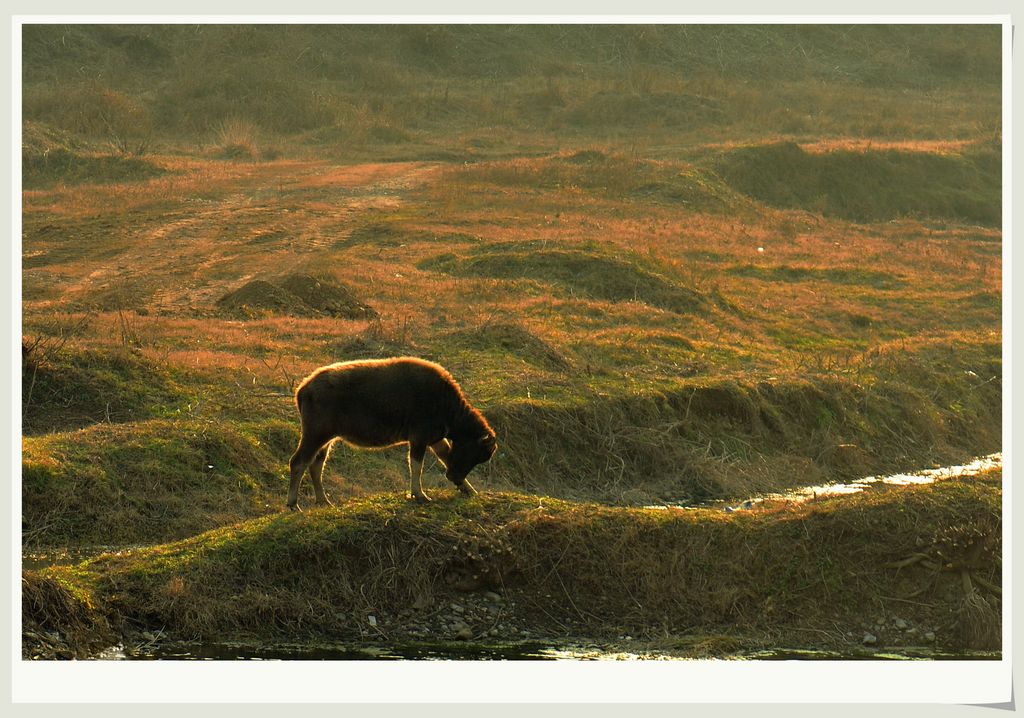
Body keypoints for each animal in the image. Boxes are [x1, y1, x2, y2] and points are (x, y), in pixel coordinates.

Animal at [288, 356, 495, 505]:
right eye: (474, 452)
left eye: (480, 457)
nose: (454, 476)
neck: (446, 403)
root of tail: (303, 388)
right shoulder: (419, 439)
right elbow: (416, 466)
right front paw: (419, 495)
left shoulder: (435, 439)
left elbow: (445, 458)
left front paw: (469, 490)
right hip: (315, 435)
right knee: (298, 462)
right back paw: (293, 504)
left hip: (326, 440)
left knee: (316, 465)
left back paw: (323, 501)